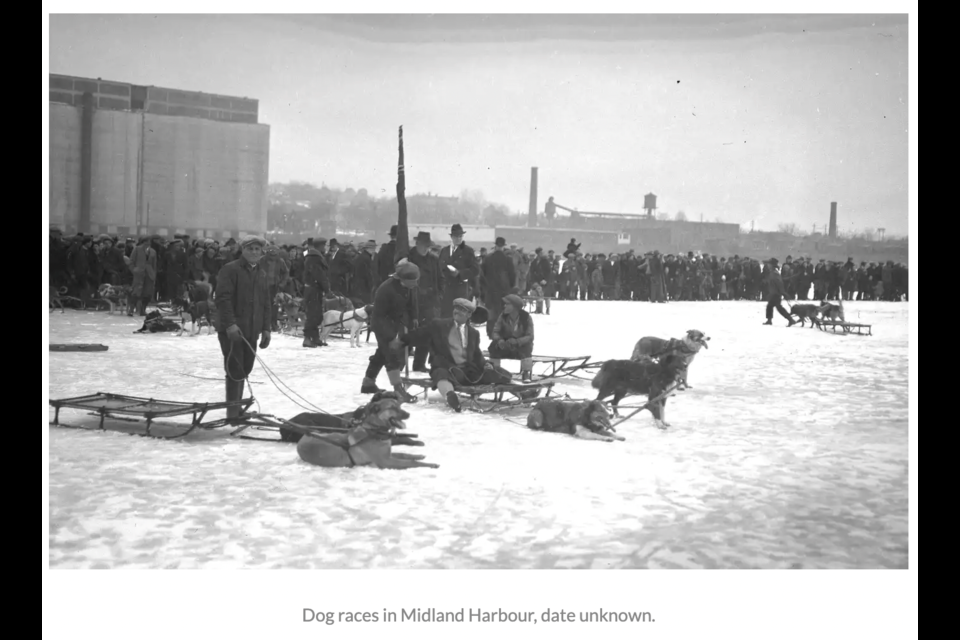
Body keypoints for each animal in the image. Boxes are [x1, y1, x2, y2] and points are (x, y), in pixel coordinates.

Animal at [296, 396, 438, 470]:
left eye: (399, 406)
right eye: (392, 408)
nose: (408, 414)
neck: (375, 431)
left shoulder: (388, 454)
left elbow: (405, 454)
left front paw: (419, 456)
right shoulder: (386, 462)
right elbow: (411, 463)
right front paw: (431, 464)